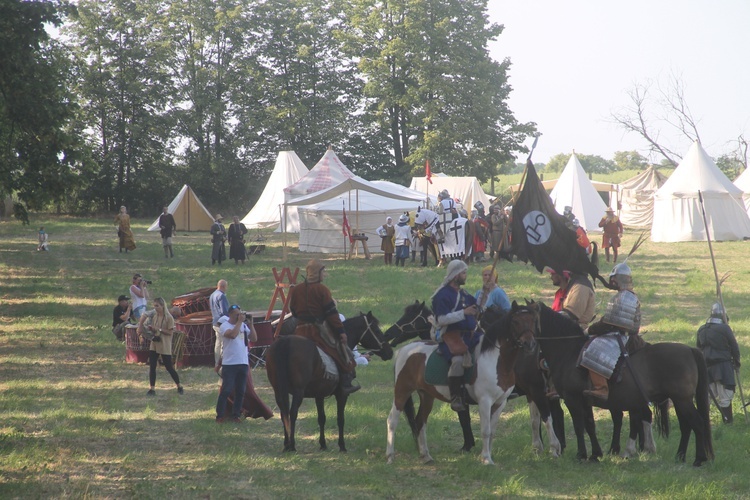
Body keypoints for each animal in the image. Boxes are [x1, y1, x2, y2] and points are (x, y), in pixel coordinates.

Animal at [266, 310, 394, 452]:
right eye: (376, 330)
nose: (390, 352)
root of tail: (285, 342)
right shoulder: (342, 394)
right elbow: (340, 418)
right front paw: (342, 445)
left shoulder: (319, 394)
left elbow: (321, 418)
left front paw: (323, 444)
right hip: (298, 392)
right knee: (292, 412)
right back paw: (292, 445)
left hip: (278, 390)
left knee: (283, 412)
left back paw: (286, 444)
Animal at [384, 300, 568, 458]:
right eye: (516, 321)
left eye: (409, 317)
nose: (388, 333)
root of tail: (405, 351)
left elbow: (467, 421)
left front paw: (470, 447)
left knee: (550, 416)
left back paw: (556, 447)